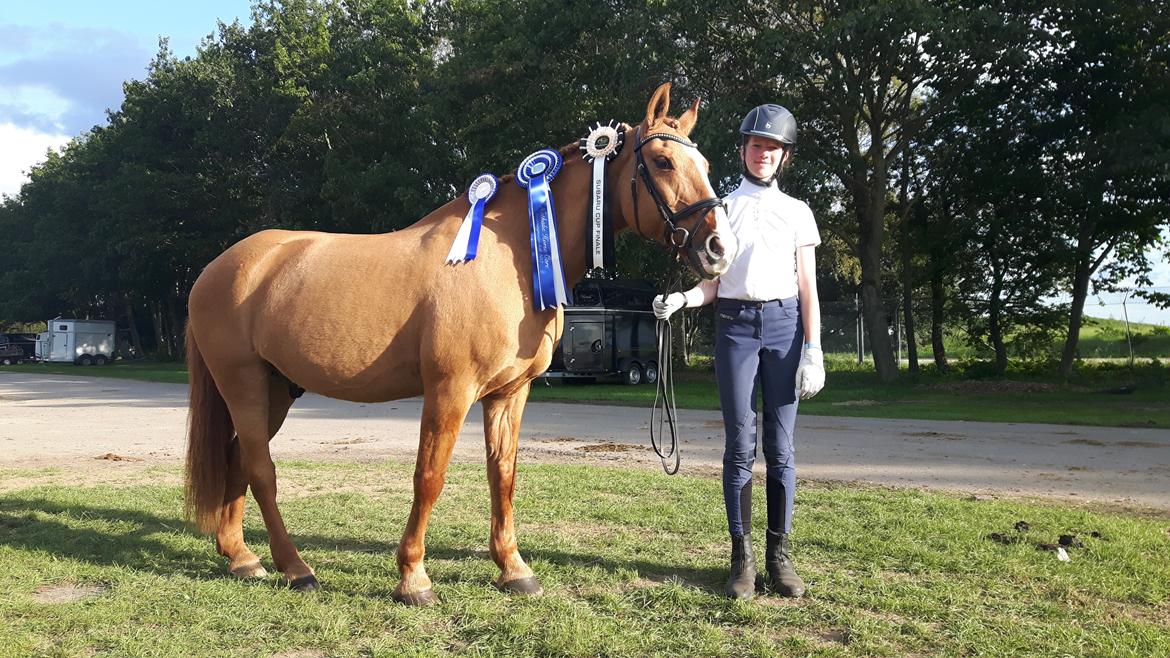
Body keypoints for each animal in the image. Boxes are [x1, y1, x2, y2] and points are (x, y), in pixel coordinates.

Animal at [184, 82, 739, 605]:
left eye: (706, 165)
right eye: (662, 161)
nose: (720, 249)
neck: (511, 256)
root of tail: (217, 269)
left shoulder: (509, 393)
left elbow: (503, 476)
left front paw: (514, 569)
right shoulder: (450, 390)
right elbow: (429, 477)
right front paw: (413, 578)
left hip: (277, 388)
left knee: (239, 461)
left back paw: (242, 558)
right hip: (243, 382)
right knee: (261, 468)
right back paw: (295, 568)